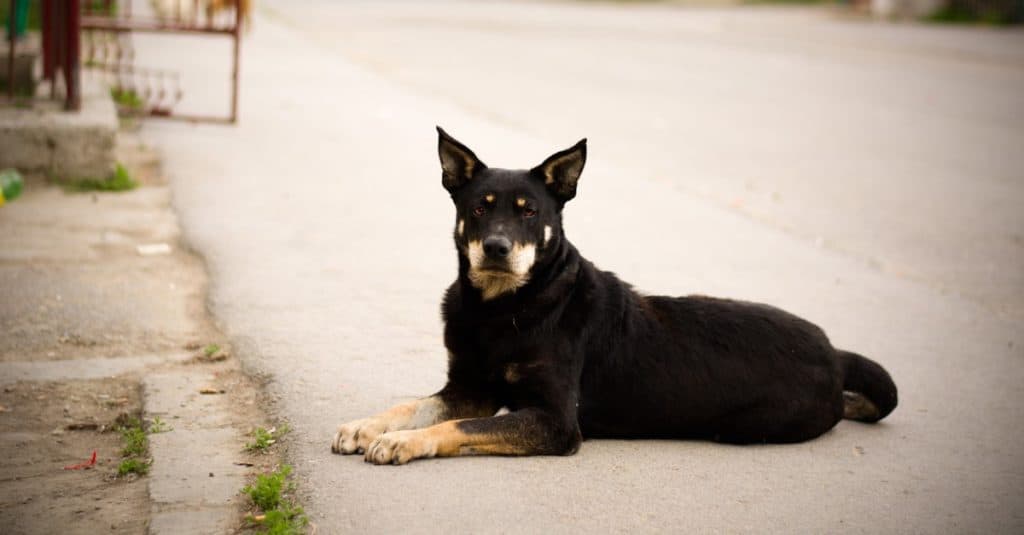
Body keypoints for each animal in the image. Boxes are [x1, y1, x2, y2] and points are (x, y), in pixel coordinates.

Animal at [331, 126, 901, 461]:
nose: (495, 248)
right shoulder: (469, 386)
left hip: (756, 422)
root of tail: (834, 349)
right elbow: (412, 405)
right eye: (478, 208)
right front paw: (366, 427)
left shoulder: (556, 423)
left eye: (529, 212)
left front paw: (403, 442)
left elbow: (460, 427)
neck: (506, 307)